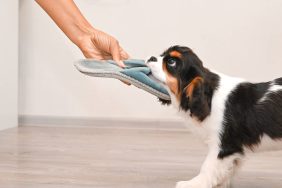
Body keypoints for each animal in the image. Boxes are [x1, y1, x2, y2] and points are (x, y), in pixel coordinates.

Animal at [145, 46, 282, 188]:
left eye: (171, 62)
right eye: (162, 55)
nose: (151, 58)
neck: (210, 94)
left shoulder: (223, 145)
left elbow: (208, 167)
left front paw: (194, 183)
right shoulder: (234, 150)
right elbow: (228, 168)